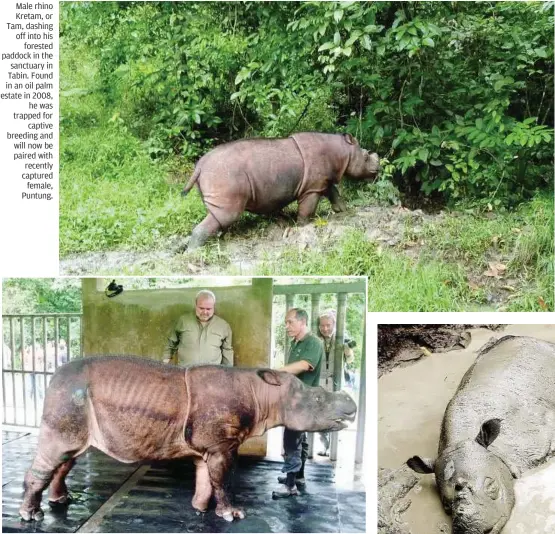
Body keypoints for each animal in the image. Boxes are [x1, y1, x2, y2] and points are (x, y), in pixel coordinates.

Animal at [19, 358, 358, 524]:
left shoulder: (210, 446)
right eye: (317, 398)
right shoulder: (222, 445)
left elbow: (206, 478)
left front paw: (199, 509)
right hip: (69, 396)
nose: (352, 407)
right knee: (58, 452)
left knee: (69, 455)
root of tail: (53, 376)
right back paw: (31, 515)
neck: (265, 393)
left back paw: (61, 501)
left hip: (75, 402)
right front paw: (233, 515)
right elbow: (223, 479)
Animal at [182, 134, 382, 251]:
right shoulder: (311, 187)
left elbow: (333, 192)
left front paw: (342, 211)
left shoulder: (321, 181)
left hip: (217, 176)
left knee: (218, 215)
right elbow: (308, 209)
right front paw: (303, 227)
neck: (343, 151)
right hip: (224, 175)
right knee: (227, 214)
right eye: (366, 156)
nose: (378, 169)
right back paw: (193, 253)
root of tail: (199, 166)